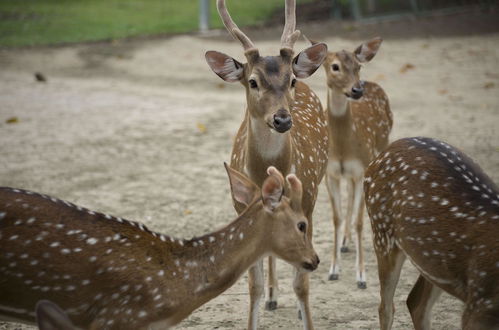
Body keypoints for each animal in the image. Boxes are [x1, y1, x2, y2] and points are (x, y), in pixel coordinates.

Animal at [205, 0, 330, 328]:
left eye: (291, 80)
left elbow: (301, 283)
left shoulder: (306, 203)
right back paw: (273, 297)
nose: (282, 119)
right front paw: (263, 301)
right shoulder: (243, 208)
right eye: (252, 81)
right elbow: (254, 284)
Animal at [308, 36, 394, 288]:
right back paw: (345, 243)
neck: (343, 149)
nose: (357, 89)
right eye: (335, 66)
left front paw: (361, 275)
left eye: (358, 66)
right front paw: (333, 270)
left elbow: (359, 221)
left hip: (380, 147)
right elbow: (336, 218)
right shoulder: (330, 173)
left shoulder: (362, 170)